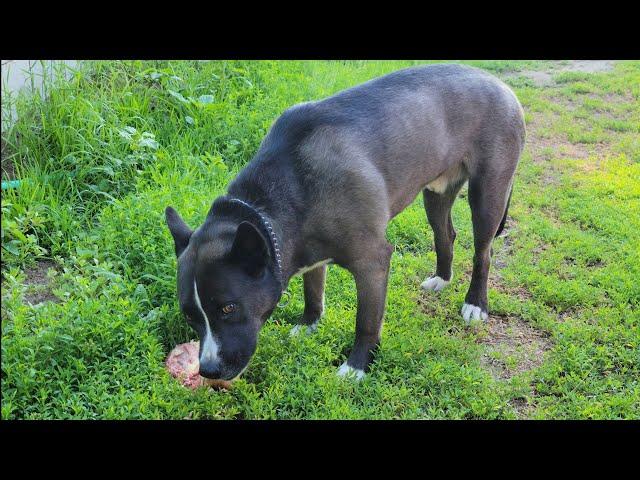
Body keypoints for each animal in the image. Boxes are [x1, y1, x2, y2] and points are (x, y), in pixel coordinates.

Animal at [164, 63, 524, 380]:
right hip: (436, 194)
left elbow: (366, 322)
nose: (209, 371)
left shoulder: (373, 262)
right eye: (190, 315)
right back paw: (442, 279)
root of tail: (499, 83)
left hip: (488, 194)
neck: (284, 191)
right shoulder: (307, 250)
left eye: (228, 308)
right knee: (445, 234)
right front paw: (308, 325)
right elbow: (313, 293)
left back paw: (475, 304)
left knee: (483, 252)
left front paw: (357, 367)